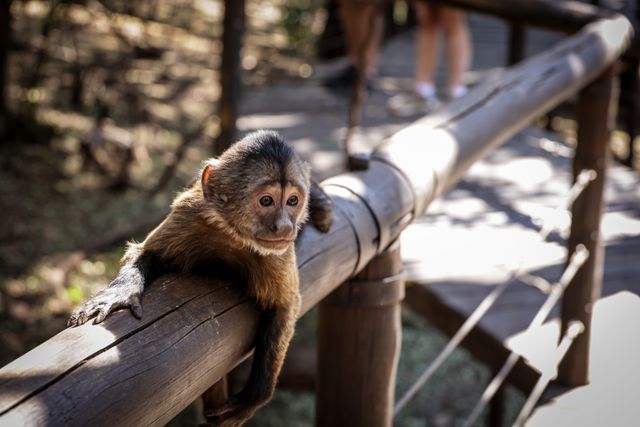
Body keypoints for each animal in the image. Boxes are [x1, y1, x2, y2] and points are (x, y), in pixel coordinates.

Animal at [67, 130, 333, 426]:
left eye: (292, 201)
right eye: (267, 201)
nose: (285, 227)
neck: (233, 234)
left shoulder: (277, 253)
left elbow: (286, 305)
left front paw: (255, 396)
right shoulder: (189, 213)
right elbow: (145, 252)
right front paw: (120, 293)